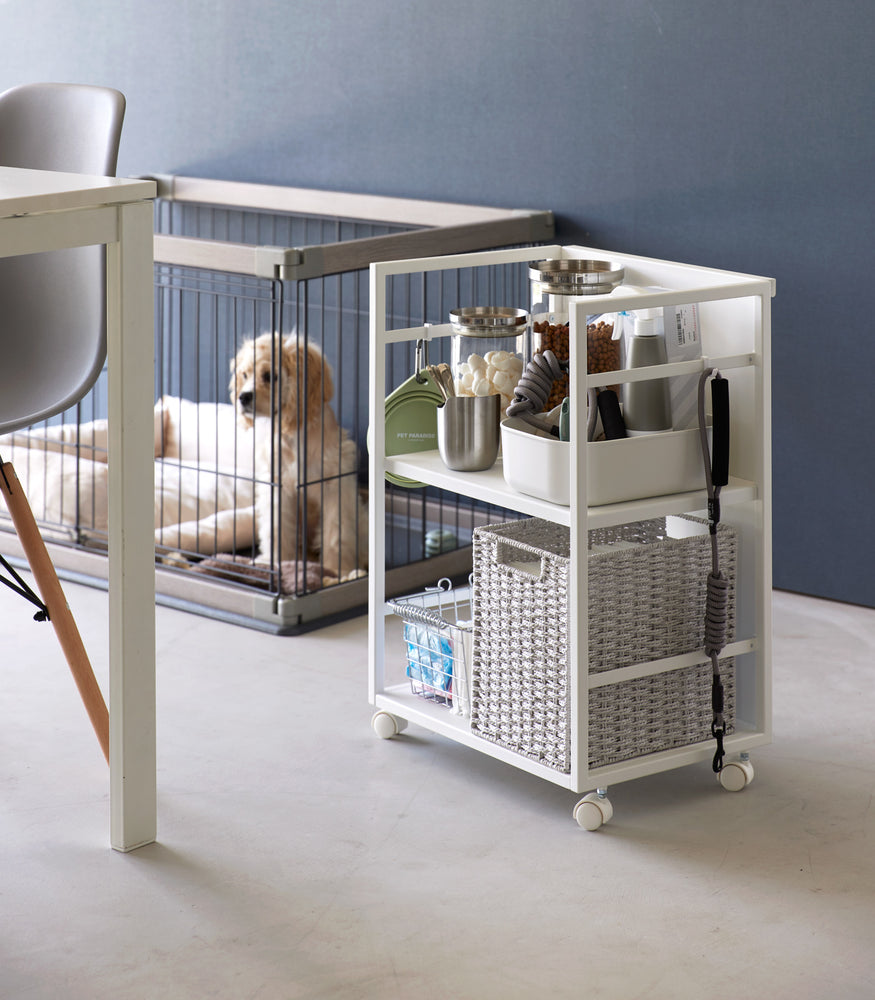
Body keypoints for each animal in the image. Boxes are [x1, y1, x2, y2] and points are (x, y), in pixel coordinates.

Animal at [229, 334, 366, 580]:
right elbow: (275, 529)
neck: (293, 434)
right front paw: (275, 564)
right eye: (244, 375)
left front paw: (336, 571)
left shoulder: (334, 487)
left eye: (269, 376)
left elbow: (336, 534)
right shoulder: (277, 487)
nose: (243, 397)